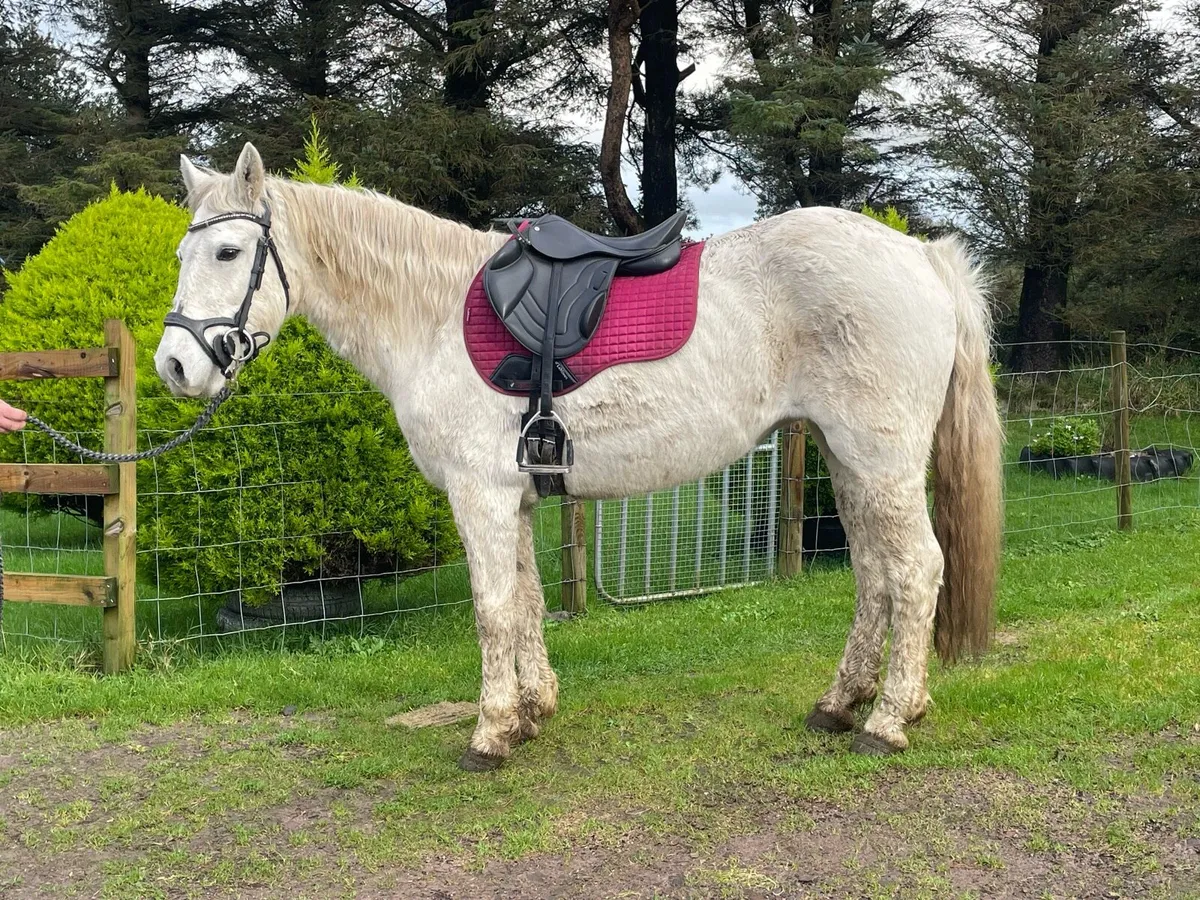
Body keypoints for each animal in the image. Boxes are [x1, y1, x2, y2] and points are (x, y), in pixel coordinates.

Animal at [154, 143, 1003, 770]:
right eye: (181, 253)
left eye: (227, 251)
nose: (175, 367)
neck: (432, 315)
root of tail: (922, 259)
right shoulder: (517, 498)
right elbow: (528, 603)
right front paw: (533, 712)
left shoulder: (480, 497)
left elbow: (493, 609)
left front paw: (491, 732)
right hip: (849, 462)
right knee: (875, 576)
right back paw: (840, 704)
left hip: (881, 464)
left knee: (916, 570)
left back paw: (888, 720)